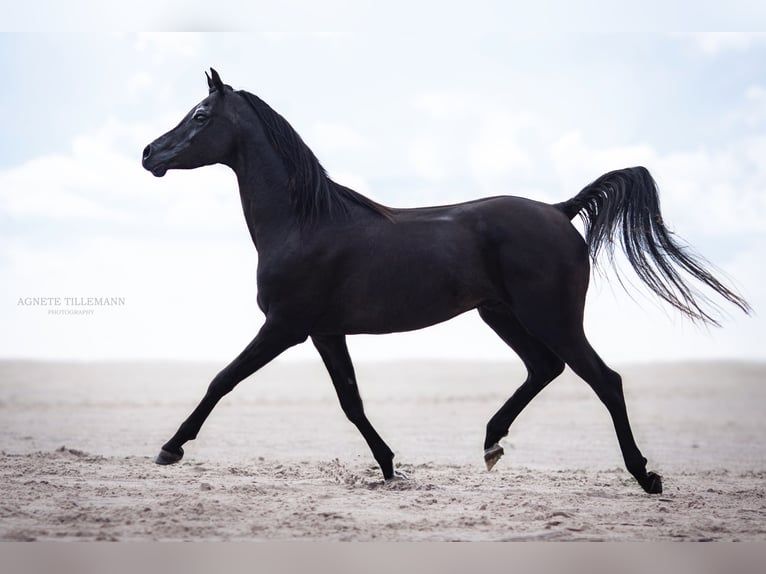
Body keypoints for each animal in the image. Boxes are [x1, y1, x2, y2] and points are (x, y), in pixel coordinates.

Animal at [142, 68, 750, 494]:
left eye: (200, 115)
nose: (149, 153)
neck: (304, 222)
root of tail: (560, 210)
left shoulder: (285, 326)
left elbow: (222, 380)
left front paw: (170, 448)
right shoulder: (324, 331)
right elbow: (351, 400)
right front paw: (390, 467)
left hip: (551, 317)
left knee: (605, 380)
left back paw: (645, 476)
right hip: (500, 313)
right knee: (545, 368)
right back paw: (491, 443)